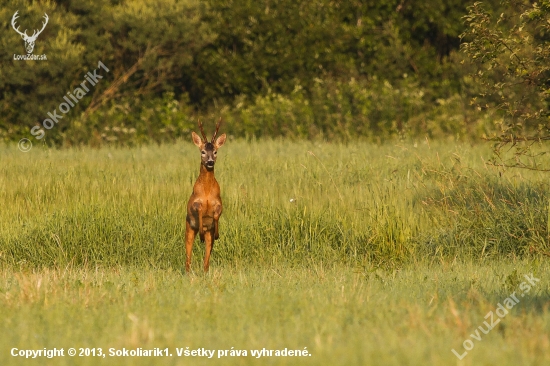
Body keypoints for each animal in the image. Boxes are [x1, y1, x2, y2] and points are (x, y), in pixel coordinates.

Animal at [187, 118, 227, 272]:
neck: (207, 192)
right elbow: (199, 209)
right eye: (203, 151)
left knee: (206, 260)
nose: (210, 162)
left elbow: (216, 215)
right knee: (188, 256)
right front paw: (201, 234)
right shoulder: (193, 204)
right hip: (188, 228)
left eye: (215, 152)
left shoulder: (219, 203)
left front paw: (217, 234)